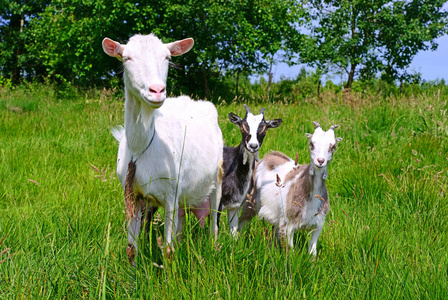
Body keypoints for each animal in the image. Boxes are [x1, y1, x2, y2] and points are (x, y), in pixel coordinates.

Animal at [104, 33, 224, 264]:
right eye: (126, 58)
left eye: (167, 57)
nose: (157, 91)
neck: (142, 148)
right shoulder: (132, 194)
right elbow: (131, 249)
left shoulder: (170, 195)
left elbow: (167, 251)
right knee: (181, 225)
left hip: (217, 178)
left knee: (213, 221)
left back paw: (214, 248)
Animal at [240, 122, 342, 255]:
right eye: (311, 144)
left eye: (333, 147)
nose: (320, 161)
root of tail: (266, 157)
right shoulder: (289, 224)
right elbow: (290, 250)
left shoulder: (318, 224)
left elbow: (313, 251)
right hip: (251, 201)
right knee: (241, 220)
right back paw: (236, 240)